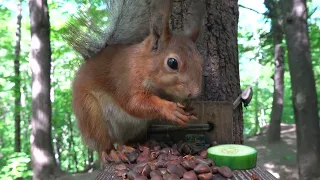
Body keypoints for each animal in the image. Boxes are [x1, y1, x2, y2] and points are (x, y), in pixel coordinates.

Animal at [63, 0, 205, 162]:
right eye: (172, 63)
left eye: (201, 61)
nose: (194, 93)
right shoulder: (125, 78)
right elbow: (134, 103)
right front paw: (170, 110)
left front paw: (189, 108)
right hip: (90, 112)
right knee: (102, 143)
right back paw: (112, 152)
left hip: (135, 128)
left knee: (122, 140)